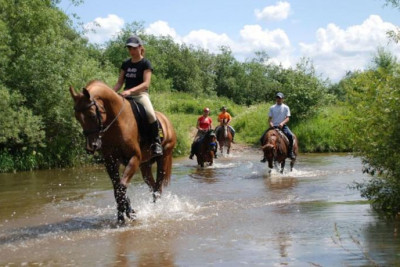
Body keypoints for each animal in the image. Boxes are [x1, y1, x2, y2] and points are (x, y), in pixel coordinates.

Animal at [69, 80, 176, 223]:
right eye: (77, 117)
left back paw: (156, 211)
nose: (91, 146)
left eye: (92, 115)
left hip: (163, 158)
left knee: (158, 188)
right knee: (153, 186)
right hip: (145, 165)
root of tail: (166, 120)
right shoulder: (111, 162)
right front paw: (126, 213)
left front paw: (125, 215)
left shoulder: (134, 158)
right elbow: (117, 188)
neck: (117, 122)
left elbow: (121, 187)